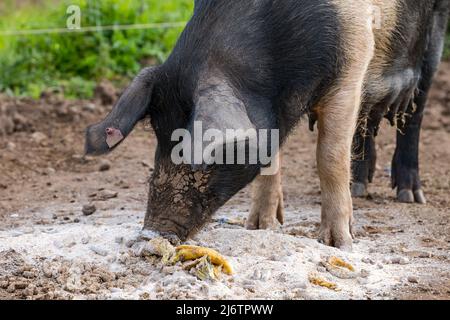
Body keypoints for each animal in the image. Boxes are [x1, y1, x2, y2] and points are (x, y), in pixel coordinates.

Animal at [86, 0, 448, 250]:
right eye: (159, 139)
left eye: (203, 158)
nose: (150, 234)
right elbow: (271, 158)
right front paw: (259, 227)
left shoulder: (354, 55)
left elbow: (329, 156)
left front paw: (338, 243)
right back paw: (360, 186)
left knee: (417, 108)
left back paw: (410, 196)